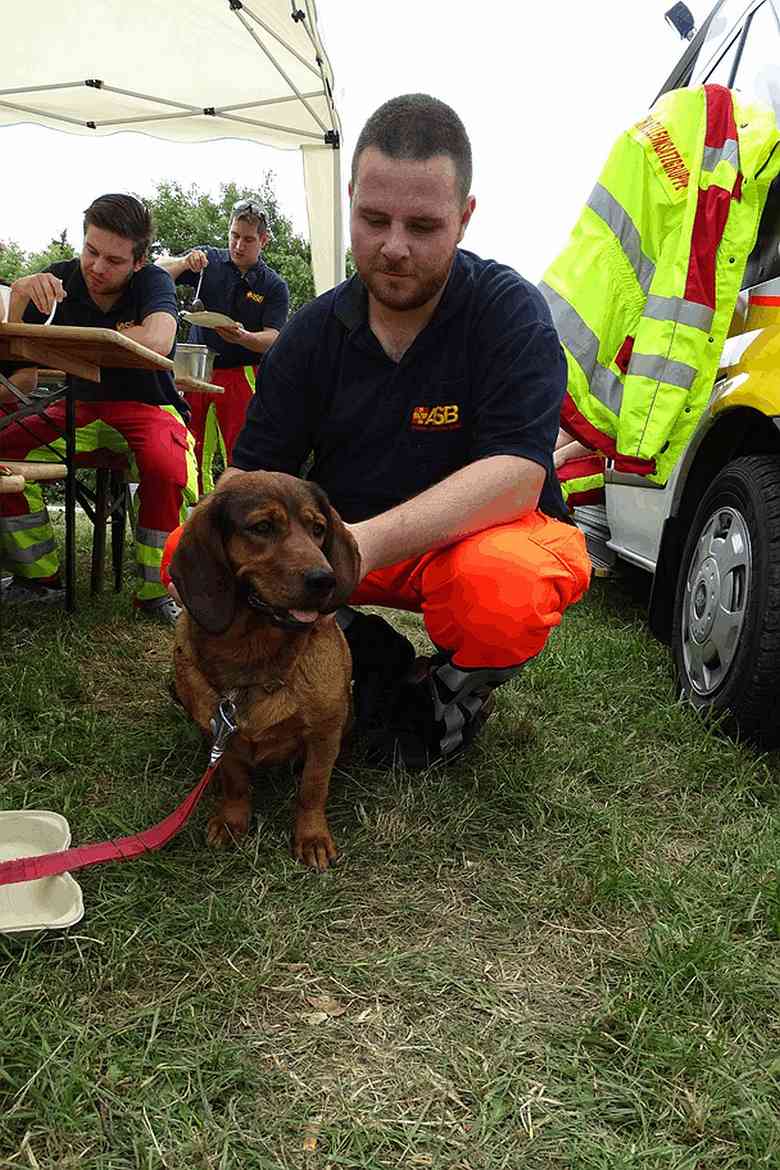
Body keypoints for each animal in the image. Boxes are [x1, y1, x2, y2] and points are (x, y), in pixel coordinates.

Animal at [169, 472, 362, 870]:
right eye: (262, 527)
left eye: (318, 529)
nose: (325, 579)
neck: (254, 657)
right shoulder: (221, 733)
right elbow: (235, 783)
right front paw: (232, 820)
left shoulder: (324, 735)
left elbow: (312, 789)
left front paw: (311, 837)